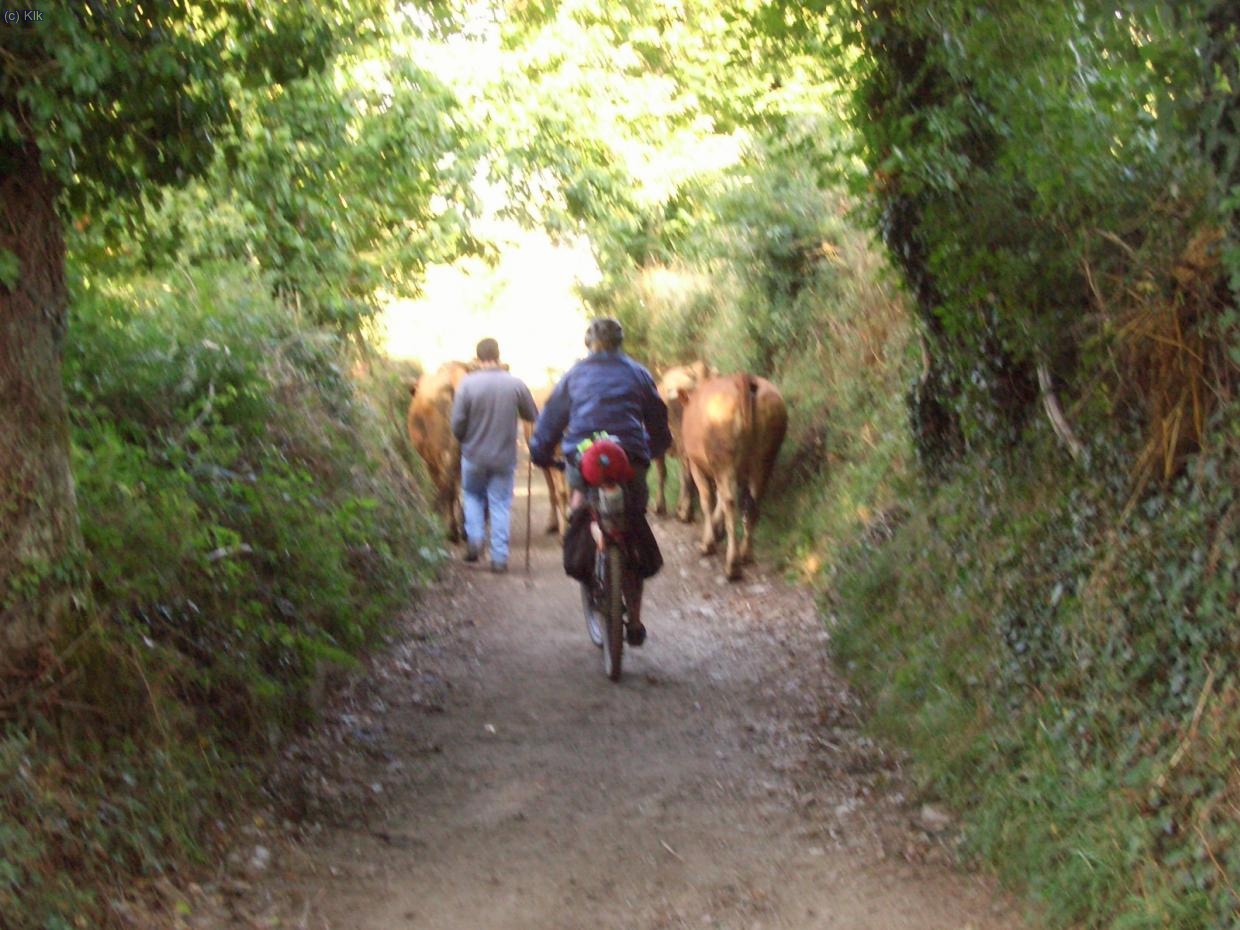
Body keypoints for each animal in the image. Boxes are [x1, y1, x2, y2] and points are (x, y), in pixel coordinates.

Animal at [679, 374, 783, 580]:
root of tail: (743, 377)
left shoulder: (697, 466)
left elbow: (707, 500)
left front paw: (708, 541)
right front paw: (716, 532)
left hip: (724, 460)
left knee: (730, 503)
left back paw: (732, 564)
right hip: (764, 461)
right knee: (752, 504)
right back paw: (745, 554)